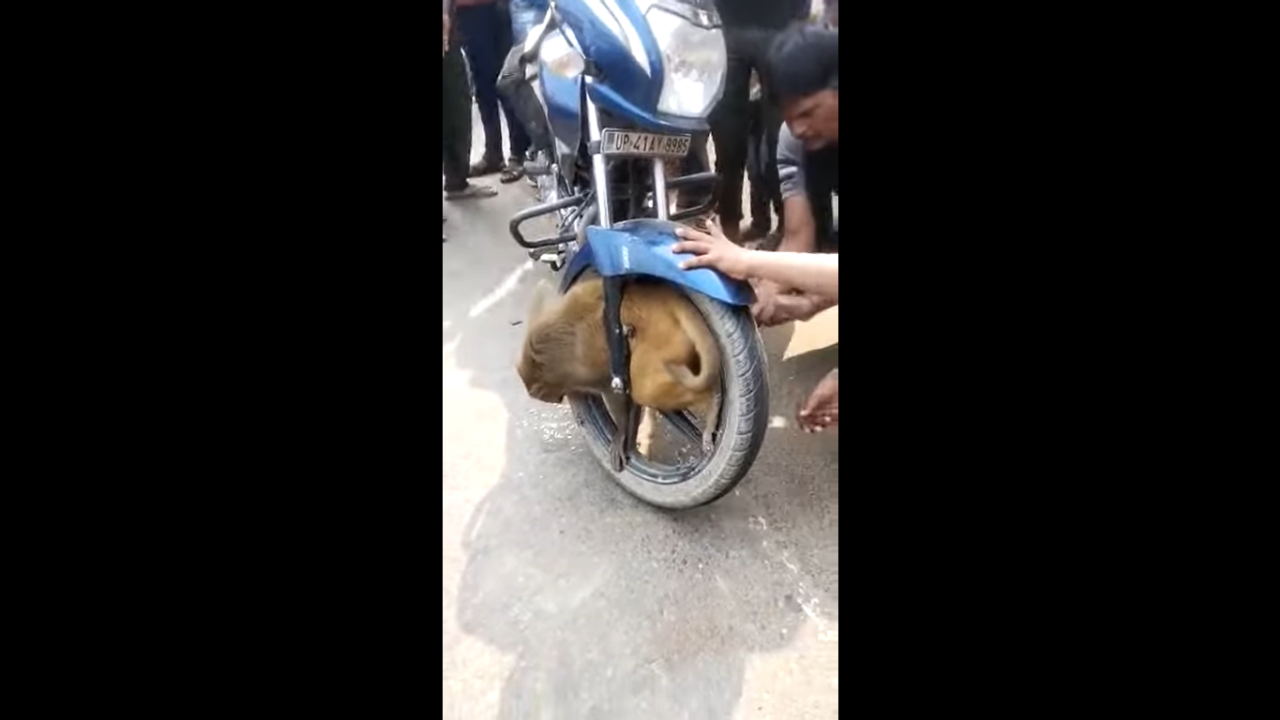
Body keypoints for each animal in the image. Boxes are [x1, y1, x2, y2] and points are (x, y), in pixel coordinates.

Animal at [517, 274, 721, 471]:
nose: (557, 398)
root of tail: (668, 298)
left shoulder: (585, 369)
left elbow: (616, 390)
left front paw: (621, 435)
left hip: (662, 337)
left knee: (644, 387)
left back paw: (711, 404)